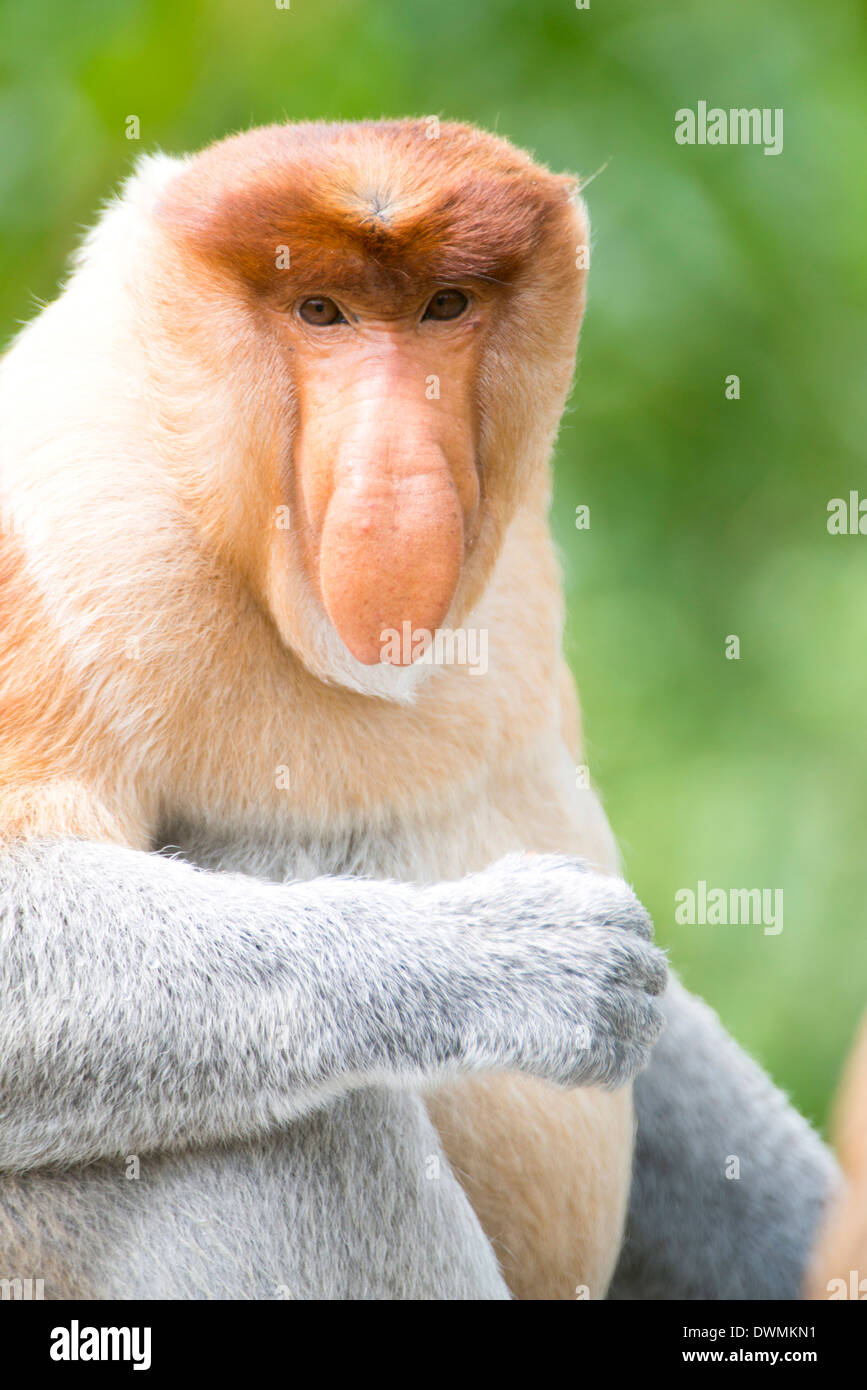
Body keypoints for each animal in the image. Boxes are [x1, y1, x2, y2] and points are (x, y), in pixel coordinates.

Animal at [0, 122, 839, 1301]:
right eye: (321, 311)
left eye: (446, 305)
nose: (396, 477)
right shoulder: (76, 540)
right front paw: (526, 957)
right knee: (299, 1129)